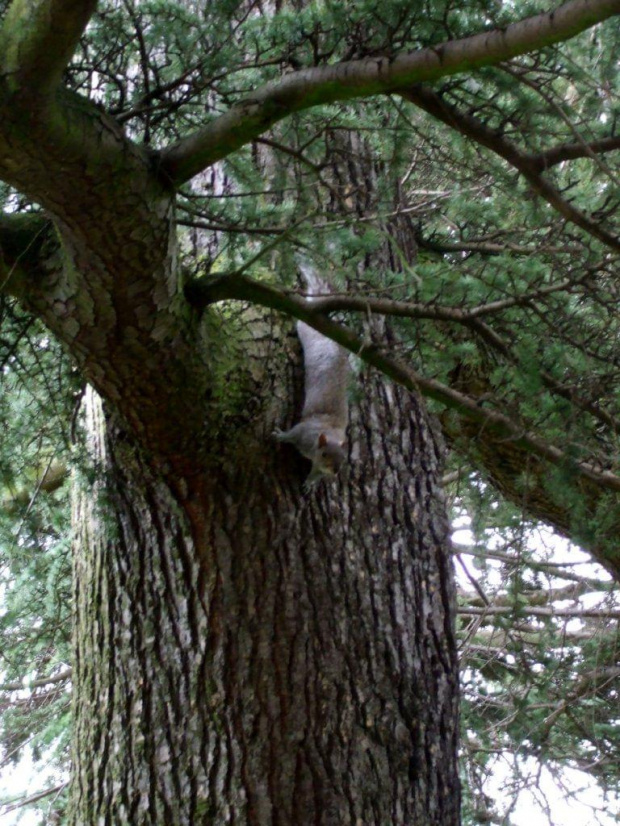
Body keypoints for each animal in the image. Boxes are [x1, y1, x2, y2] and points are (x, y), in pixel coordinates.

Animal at [274, 260, 352, 486]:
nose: (334, 471)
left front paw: (311, 482)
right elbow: (291, 434)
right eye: (325, 453)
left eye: (344, 458)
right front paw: (280, 435)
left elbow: (315, 473)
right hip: (305, 327)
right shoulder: (303, 431)